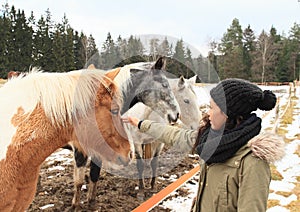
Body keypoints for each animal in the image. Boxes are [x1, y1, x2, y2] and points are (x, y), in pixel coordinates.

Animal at [0, 68, 134, 210]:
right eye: (115, 110)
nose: (130, 153)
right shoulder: (80, 151)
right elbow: (80, 180)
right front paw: (76, 205)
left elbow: (93, 175)